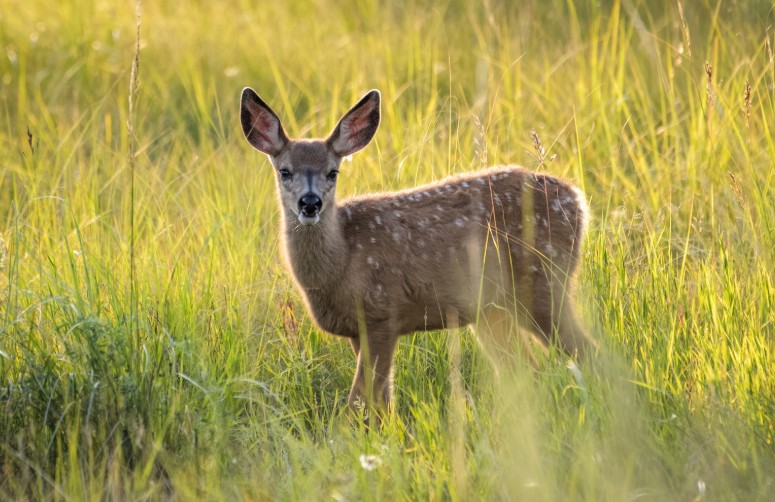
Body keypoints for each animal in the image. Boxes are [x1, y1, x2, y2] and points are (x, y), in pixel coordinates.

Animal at [239, 87, 597, 414]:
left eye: (333, 172)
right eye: (284, 171)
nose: (310, 203)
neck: (341, 261)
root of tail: (578, 200)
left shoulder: (382, 311)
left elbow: (360, 402)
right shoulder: (358, 328)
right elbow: (382, 403)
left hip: (544, 282)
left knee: (588, 352)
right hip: (492, 309)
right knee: (525, 370)